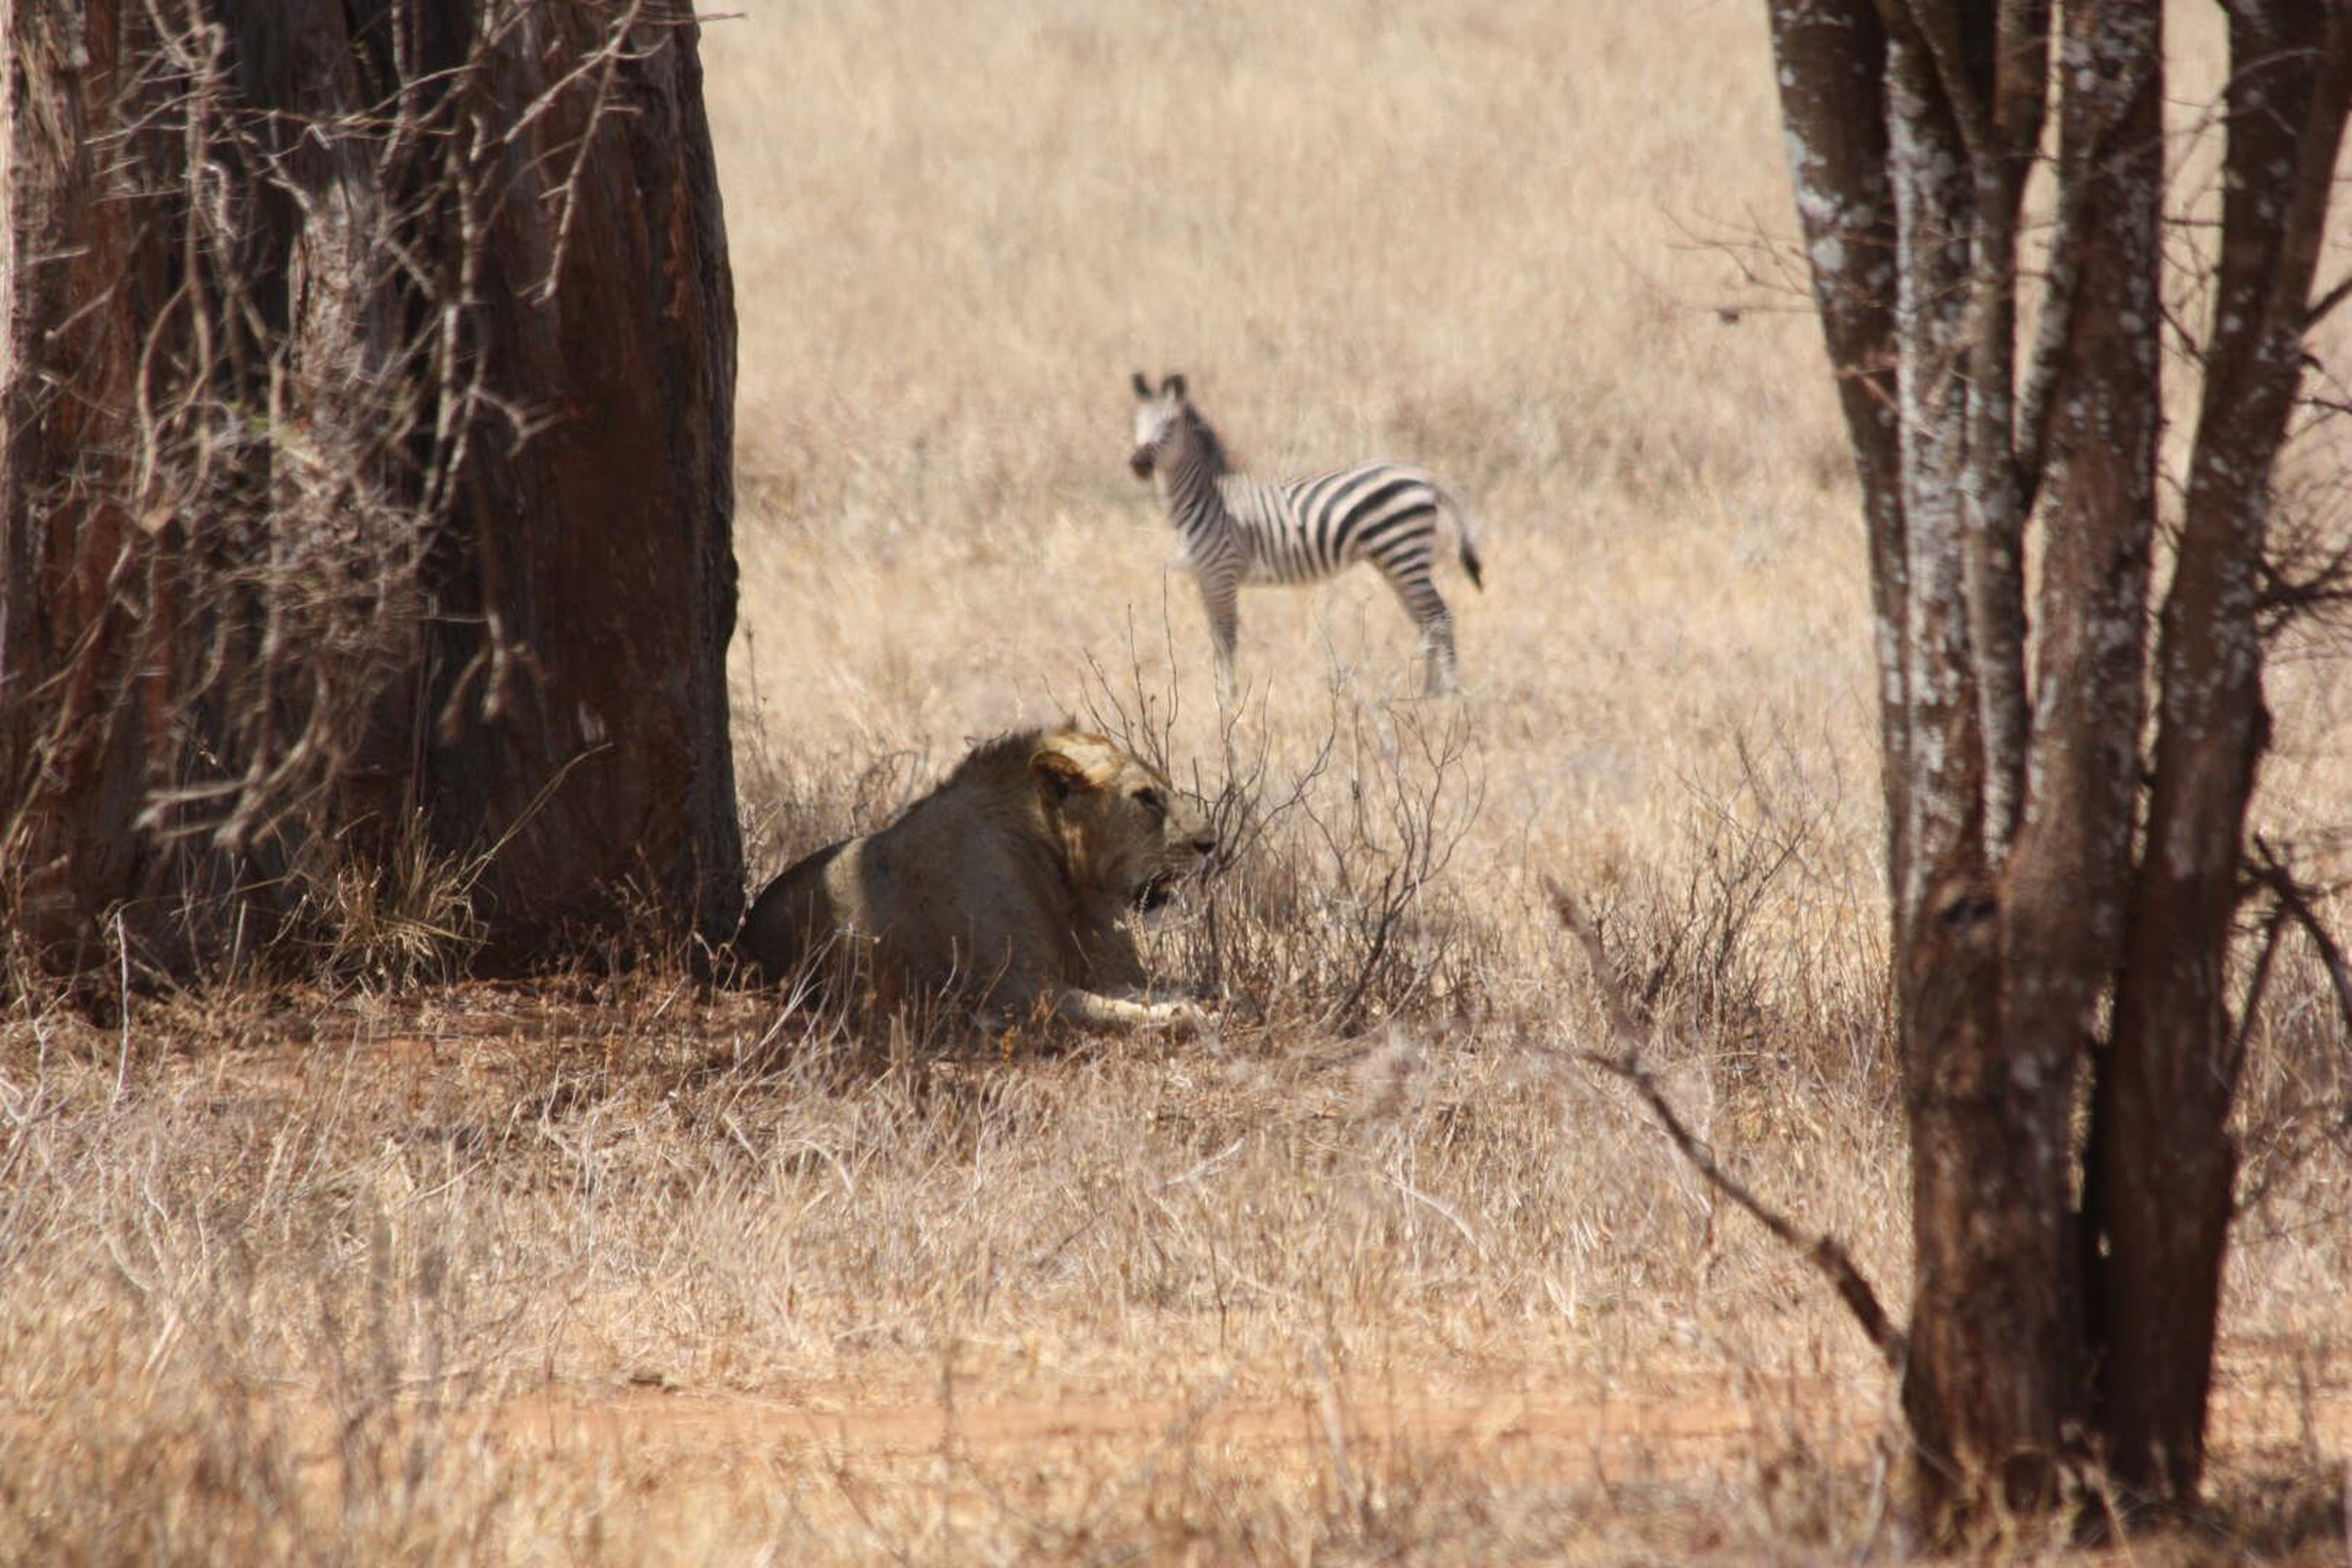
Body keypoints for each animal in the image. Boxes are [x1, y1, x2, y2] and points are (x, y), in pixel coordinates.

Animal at [729, 728, 1213, 1044]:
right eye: (1146, 798)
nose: (1210, 842)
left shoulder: (1095, 971)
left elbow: (1145, 992)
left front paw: (1189, 1001)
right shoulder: (1016, 990)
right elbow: (1114, 1009)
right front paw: (1185, 1014)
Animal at [1124, 371, 1486, 696]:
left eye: (1169, 425)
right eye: (1136, 424)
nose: (1138, 464)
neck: (1207, 499)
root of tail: (1425, 477)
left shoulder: (1222, 573)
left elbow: (1226, 638)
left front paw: (1229, 698)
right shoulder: (1205, 578)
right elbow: (1216, 638)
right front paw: (1220, 692)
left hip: (1403, 553)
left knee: (1440, 617)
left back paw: (1448, 692)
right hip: (1395, 560)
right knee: (1425, 621)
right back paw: (1426, 692)